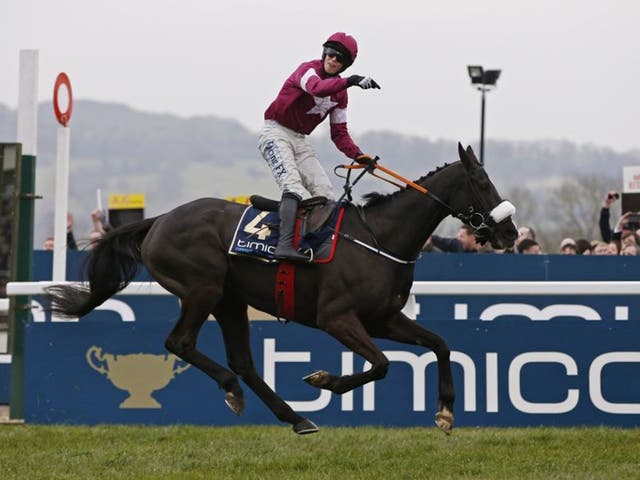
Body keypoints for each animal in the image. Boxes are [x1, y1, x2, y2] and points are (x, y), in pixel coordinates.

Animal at [46, 142, 516, 436]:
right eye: (483, 184)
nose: (510, 232)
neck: (381, 238)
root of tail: (160, 220)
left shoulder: (382, 318)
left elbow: (440, 344)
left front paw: (446, 412)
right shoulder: (337, 318)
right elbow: (381, 365)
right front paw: (326, 380)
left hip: (230, 300)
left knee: (244, 362)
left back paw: (294, 417)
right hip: (202, 288)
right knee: (180, 343)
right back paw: (234, 391)